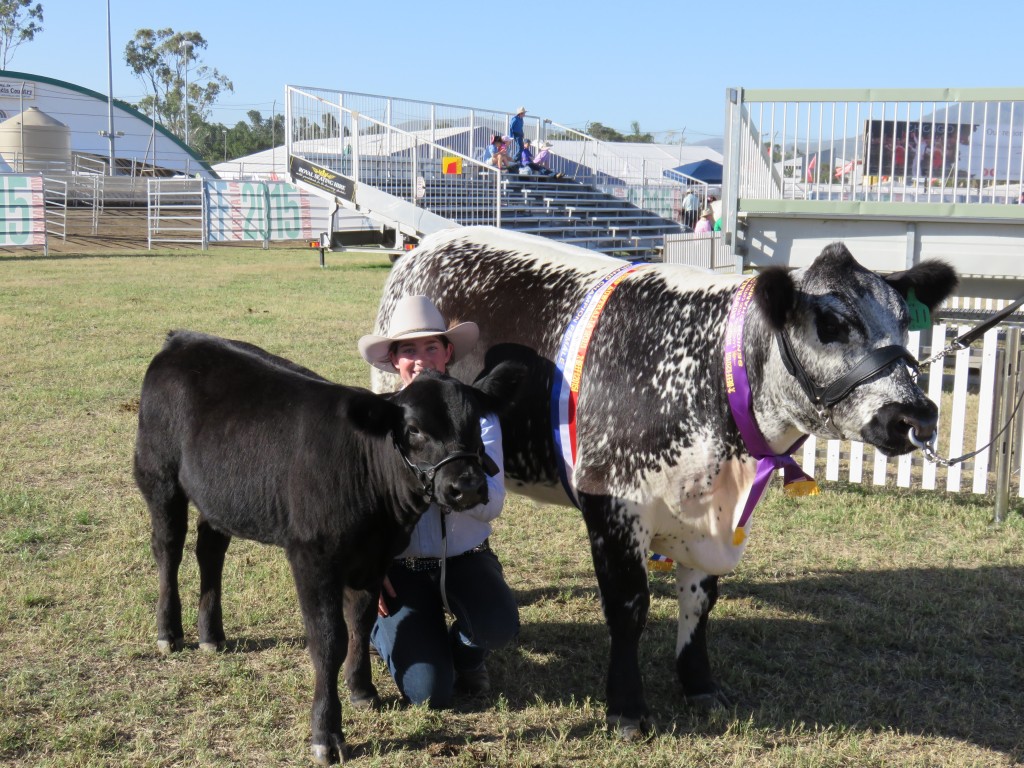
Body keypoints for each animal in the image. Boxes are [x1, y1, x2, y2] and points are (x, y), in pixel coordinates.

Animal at [134, 331, 520, 765]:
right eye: (414, 429)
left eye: (476, 422)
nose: (466, 486)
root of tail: (184, 339)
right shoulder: (312, 558)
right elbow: (328, 641)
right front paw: (327, 733)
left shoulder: (373, 559)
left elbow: (360, 623)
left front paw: (363, 690)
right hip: (158, 474)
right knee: (168, 548)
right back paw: (169, 632)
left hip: (220, 496)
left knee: (210, 549)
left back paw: (211, 635)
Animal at [370, 227, 958, 741]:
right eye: (831, 324)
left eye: (905, 321)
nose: (916, 416)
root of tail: (432, 243)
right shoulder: (612, 505)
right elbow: (629, 608)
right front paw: (627, 708)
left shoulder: (710, 519)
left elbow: (700, 603)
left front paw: (700, 686)